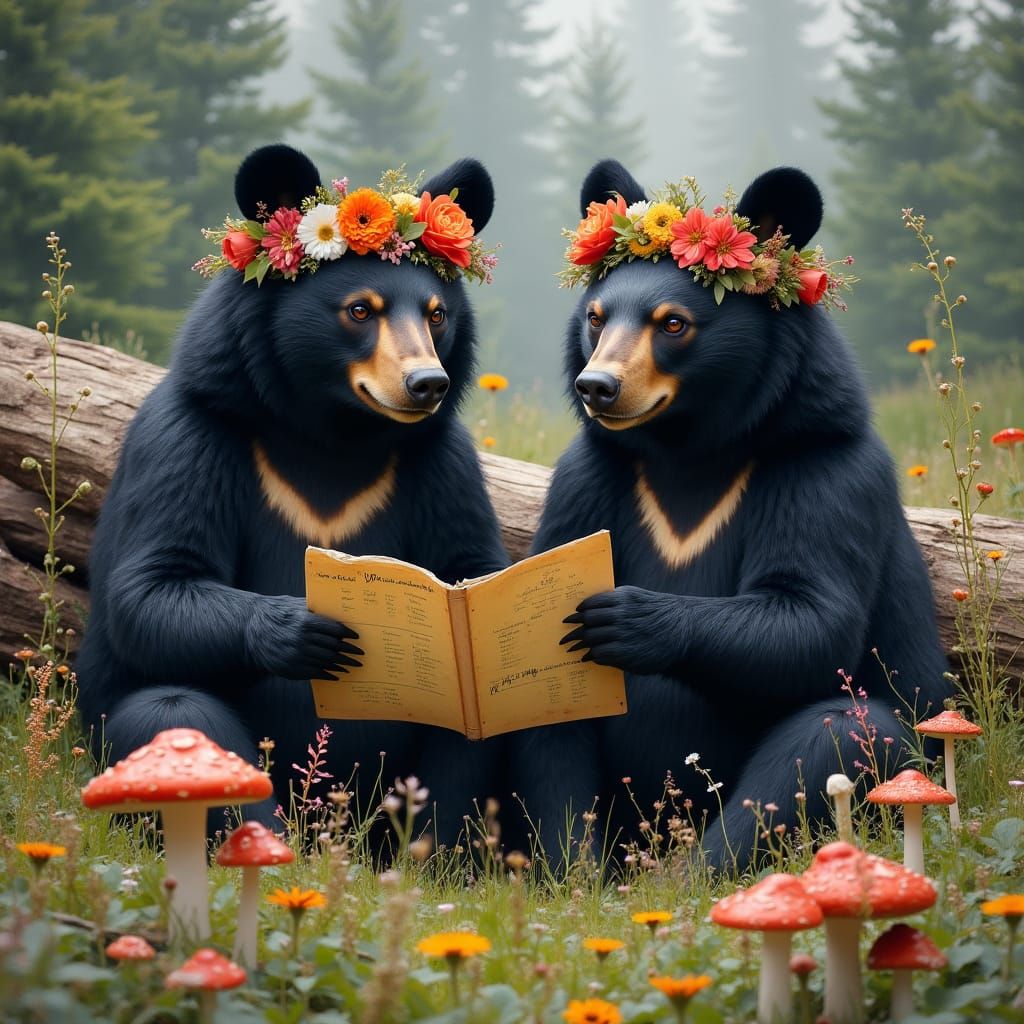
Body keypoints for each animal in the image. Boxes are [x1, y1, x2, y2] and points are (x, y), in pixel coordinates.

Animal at [76, 144, 508, 843]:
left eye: (436, 315)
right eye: (360, 310)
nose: (427, 384)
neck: (331, 431)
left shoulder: (442, 461)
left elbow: (470, 557)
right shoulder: (189, 436)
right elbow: (152, 584)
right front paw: (305, 625)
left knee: (471, 736)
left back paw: (427, 853)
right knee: (172, 712)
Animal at [511, 160, 950, 869]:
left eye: (672, 324)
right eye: (597, 319)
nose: (596, 387)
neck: (690, 446)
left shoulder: (824, 469)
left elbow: (810, 614)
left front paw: (627, 618)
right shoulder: (586, 476)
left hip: (911, 743)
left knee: (834, 735)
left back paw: (690, 871)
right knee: (549, 727)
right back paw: (580, 868)